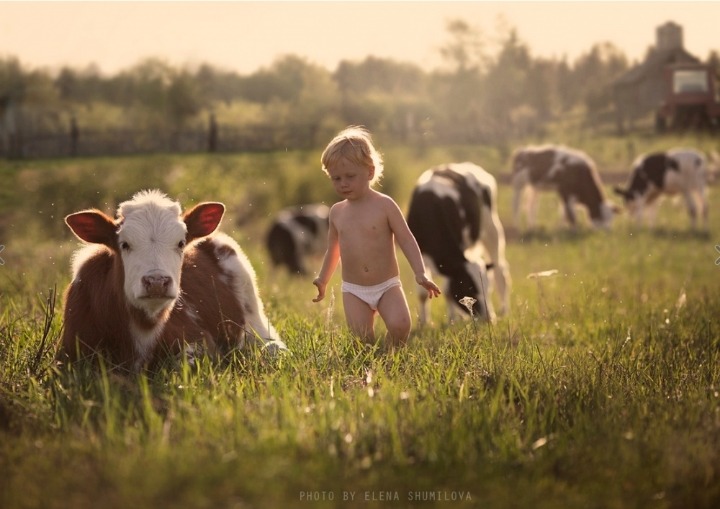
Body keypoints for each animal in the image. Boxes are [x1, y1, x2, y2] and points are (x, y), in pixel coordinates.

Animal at [404, 162, 512, 322]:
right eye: (469, 288)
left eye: (488, 289)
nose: (489, 318)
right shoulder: (419, 253)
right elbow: (424, 293)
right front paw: (424, 322)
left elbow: (448, 291)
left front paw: (452, 320)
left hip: (492, 228)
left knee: (500, 271)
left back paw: (505, 310)